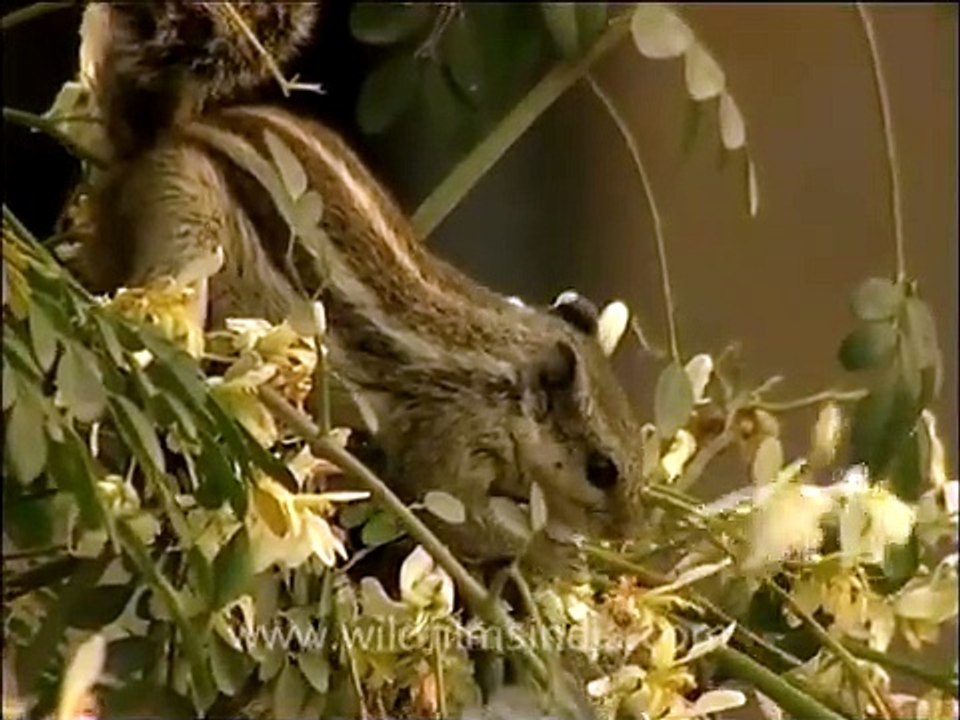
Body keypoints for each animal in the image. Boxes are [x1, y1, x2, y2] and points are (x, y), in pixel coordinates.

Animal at [70, 1, 646, 577]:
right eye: (602, 469)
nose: (627, 533)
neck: (502, 370)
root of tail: (162, 138)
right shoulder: (446, 445)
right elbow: (455, 518)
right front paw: (557, 555)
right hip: (188, 218)